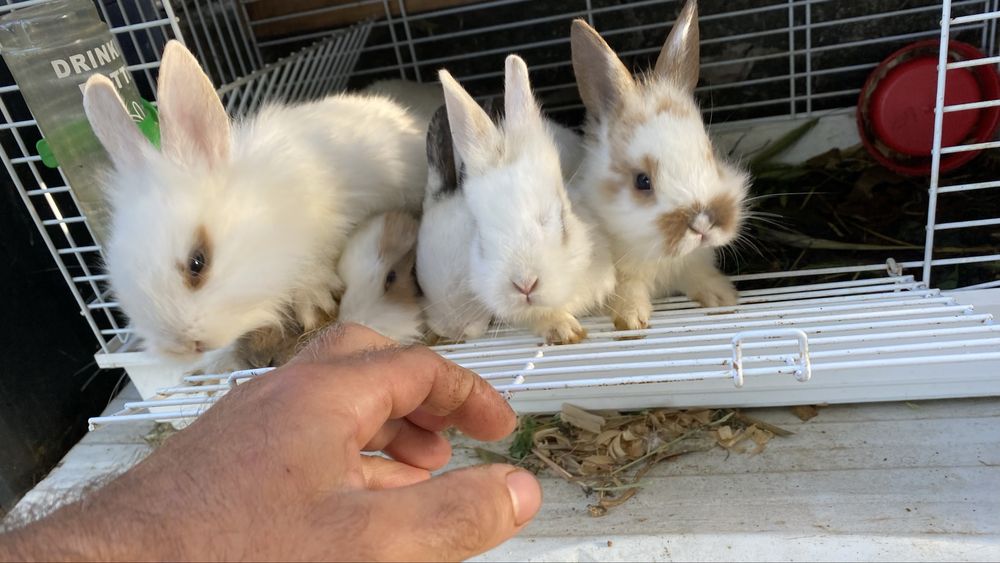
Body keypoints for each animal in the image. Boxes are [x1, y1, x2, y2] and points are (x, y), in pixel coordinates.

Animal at [569, 0, 750, 331]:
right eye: (642, 181)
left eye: (709, 153)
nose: (702, 224)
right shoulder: (623, 276)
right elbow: (629, 292)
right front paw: (631, 320)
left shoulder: (692, 263)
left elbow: (699, 276)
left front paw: (723, 298)